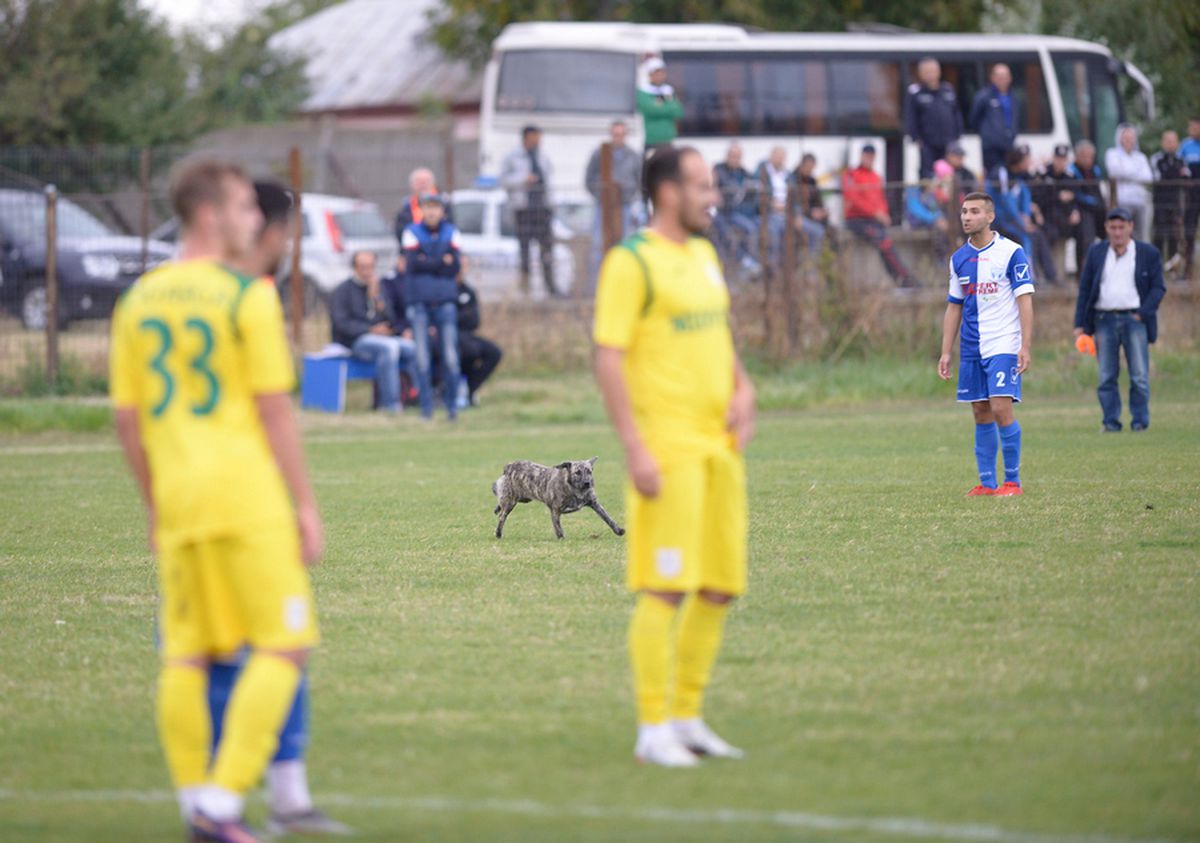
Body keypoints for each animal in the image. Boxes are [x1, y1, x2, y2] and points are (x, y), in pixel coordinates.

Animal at [494, 456, 628, 542]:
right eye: (577, 472)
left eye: (589, 471)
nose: (587, 483)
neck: (575, 489)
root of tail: (509, 466)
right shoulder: (555, 510)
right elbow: (558, 527)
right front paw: (562, 538)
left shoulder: (595, 504)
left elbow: (608, 518)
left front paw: (618, 530)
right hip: (510, 502)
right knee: (501, 517)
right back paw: (498, 533)